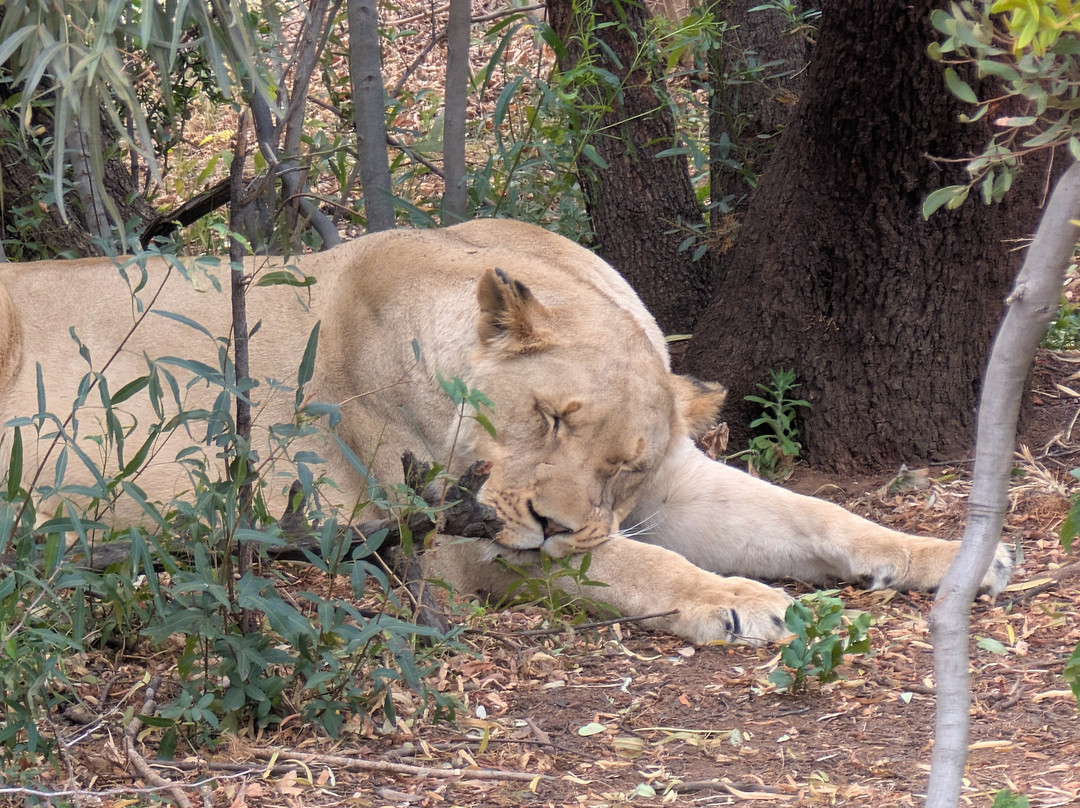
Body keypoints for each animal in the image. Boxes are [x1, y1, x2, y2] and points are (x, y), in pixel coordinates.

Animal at [0, 219, 1012, 645]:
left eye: (623, 466)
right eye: (548, 414)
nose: (553, 521)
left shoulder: (676, 483)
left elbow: (816, 516)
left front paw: (950, 555)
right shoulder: (447, 543)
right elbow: (633, 566)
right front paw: (738, 600)